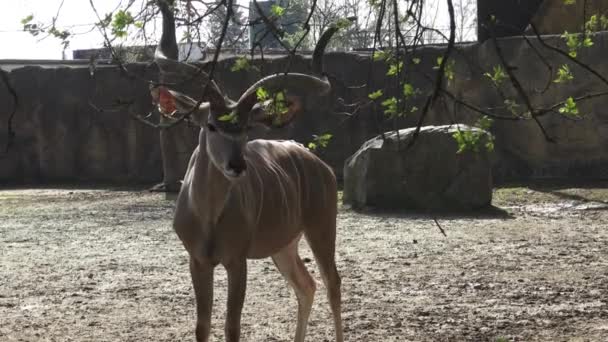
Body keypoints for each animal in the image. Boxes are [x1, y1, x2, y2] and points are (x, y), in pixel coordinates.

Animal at [150, 1, 344, 340]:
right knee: (306, 285)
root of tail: (317, 164)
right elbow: (202, 325)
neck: (209, 217)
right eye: (211, 125)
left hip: (321, 227)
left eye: (245, 128)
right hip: (284, 246)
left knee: (332, 282)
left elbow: (232, 326)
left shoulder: (236, 261)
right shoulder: (198, 261)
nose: (236, 165)